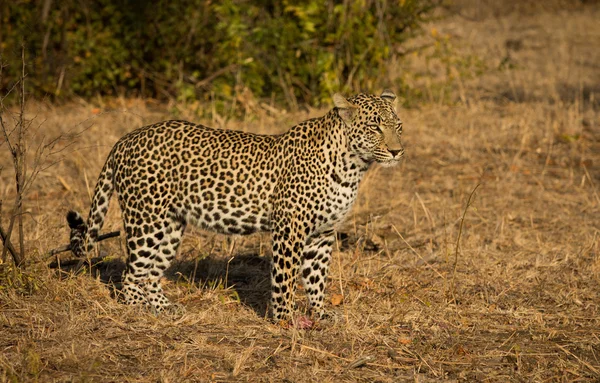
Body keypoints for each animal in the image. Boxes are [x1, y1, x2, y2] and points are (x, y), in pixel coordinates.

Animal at [65, 91, 406, 322]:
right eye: (375, 127)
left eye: (398, 125)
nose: (397, 151)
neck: (352, 166)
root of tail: (125, 139)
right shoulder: (290, 229)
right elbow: (285, 277)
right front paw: (285, 320)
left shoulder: (322, 233)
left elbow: (316, 276)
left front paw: (320, 313)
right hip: (146, 220)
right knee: (131, 274)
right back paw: (139, 310)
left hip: (170, 226)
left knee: (150, 271)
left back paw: (165, 307)